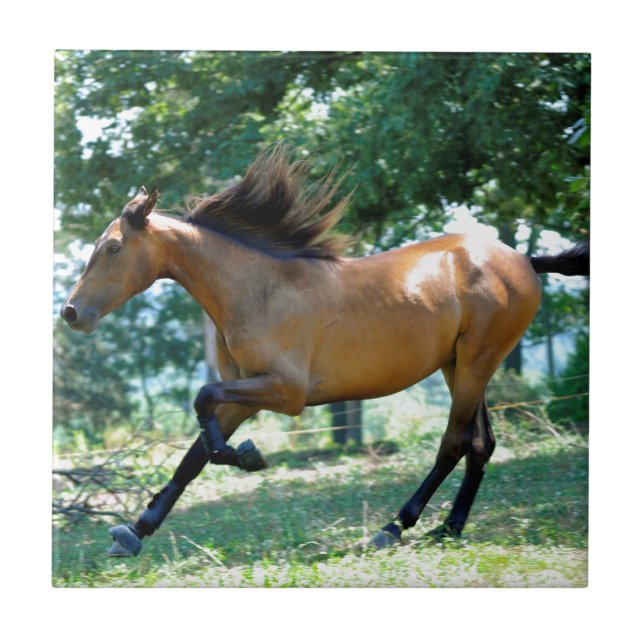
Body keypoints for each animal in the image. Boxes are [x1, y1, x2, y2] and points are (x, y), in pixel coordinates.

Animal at [60, 145, 590, 557]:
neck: (258, 290)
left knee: (455, 443)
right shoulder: (242, 393)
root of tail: (524, 260)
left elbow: (202, 403)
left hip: (478, 361)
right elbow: (193, 452)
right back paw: (449, 528)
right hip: (458, 365)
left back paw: (394, 526)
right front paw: (134, 531)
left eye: (112, 248)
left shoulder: (285, 392)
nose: (71, 312)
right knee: (480, 444)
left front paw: (246, 456)